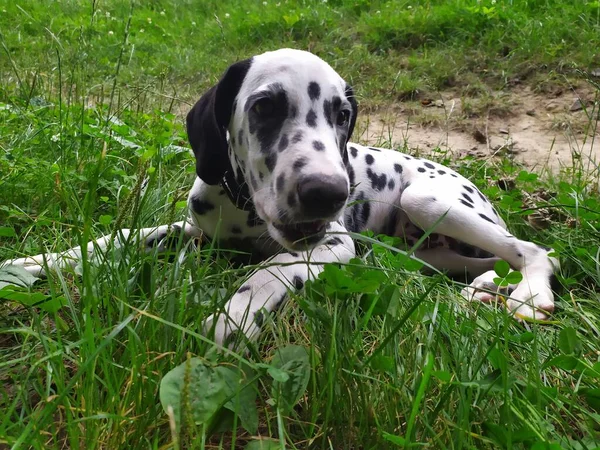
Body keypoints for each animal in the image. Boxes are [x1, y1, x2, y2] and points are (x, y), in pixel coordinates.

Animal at [3, 48, 556, 344]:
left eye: (341, 115)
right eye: (265, 106)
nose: (328, 193)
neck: (242, 208)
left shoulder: (331, 243)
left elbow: (270, 269)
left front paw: (230, 319)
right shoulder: (191, 231)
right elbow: (112, 239)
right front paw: (31, 264)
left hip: (428, 200)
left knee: (533, 250)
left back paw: (530, 297)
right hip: (427, 253)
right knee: (487, 261)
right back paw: (484, 288)